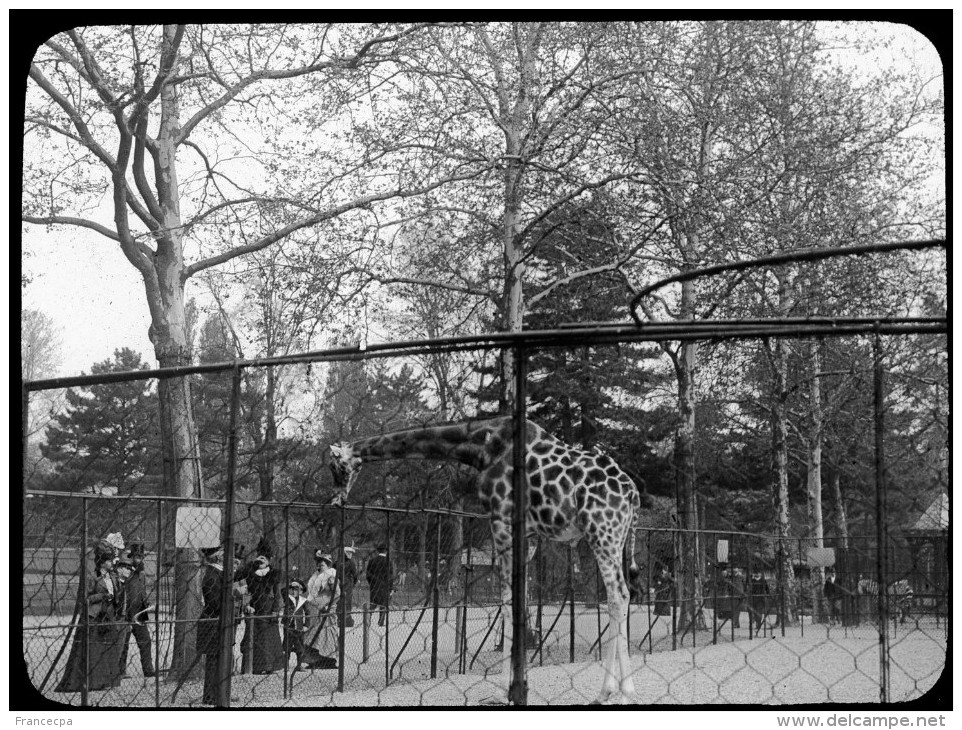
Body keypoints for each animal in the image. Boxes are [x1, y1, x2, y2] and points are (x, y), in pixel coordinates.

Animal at [326, 412, 648, 704]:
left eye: (335, 466)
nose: (336, 500)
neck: (481, 446)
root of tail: (633, 493)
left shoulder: (501, 521)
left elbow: (507, 605)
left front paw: (504, 692)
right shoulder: (528, 535)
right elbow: (520, 603)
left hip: (602, 531)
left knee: (618, 595)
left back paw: (619, 692)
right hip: (613, 536)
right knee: (620, 596)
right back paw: (612, 691)